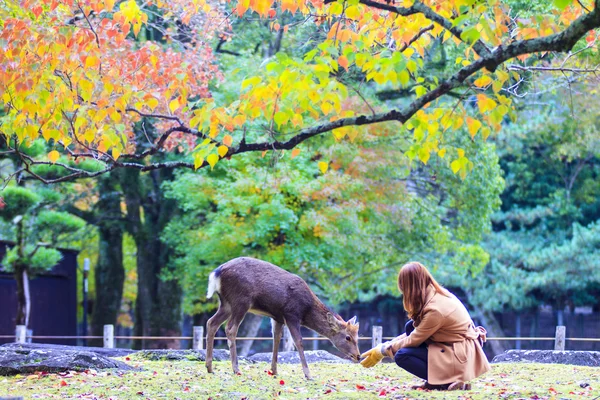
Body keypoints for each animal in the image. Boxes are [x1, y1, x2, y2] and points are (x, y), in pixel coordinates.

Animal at [205, 256, 360, 378]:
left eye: (357, 336)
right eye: (348, 337)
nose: (358, 356)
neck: (306, 311)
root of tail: (216, 273)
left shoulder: (277, 317)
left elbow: (277, 339)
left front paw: (274, 370)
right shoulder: (291, 314)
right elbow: (298, 341)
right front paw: (308, 374)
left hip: (226, 303)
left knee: (211, 322)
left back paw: (210, 367)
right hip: (241, 301)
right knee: (230, 329)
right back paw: (236, 369)